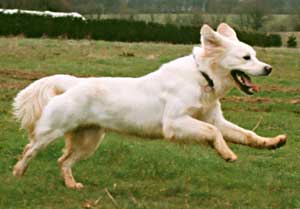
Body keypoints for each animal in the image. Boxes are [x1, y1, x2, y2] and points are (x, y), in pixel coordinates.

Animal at [12, 23, 288, 189]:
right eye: (246, 58)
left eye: (255, 55)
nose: (269, 68)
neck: (203, 77)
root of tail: (72, 82)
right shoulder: (175, 123)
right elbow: (213, 133)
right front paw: (226, 152)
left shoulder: (213, 118)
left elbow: (246, 134)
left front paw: (272, 142)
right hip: (52, 132)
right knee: (29, 149)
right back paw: (18, 174)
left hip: (89, 141)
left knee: (64, 161)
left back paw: (72, 185)